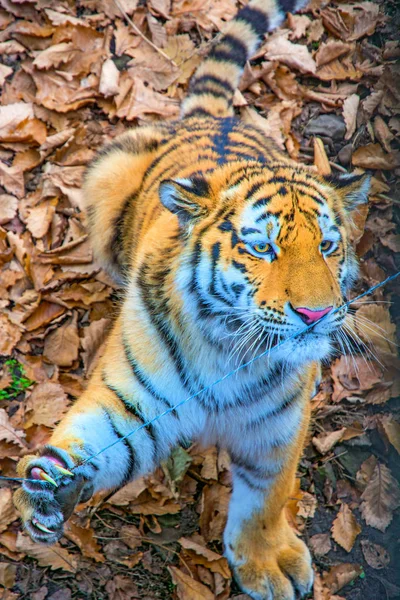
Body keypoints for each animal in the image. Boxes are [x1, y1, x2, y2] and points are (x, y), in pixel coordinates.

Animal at [14, 0, 372, 596]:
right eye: (262, 246)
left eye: (327, 245)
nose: (316, 313)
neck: (229, 347)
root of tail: (212, 118)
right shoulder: (132, 404)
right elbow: (92, 438)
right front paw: (45, 486)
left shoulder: (278, 426)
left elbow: (267, 499)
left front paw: (265, 561)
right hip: (105, 178)